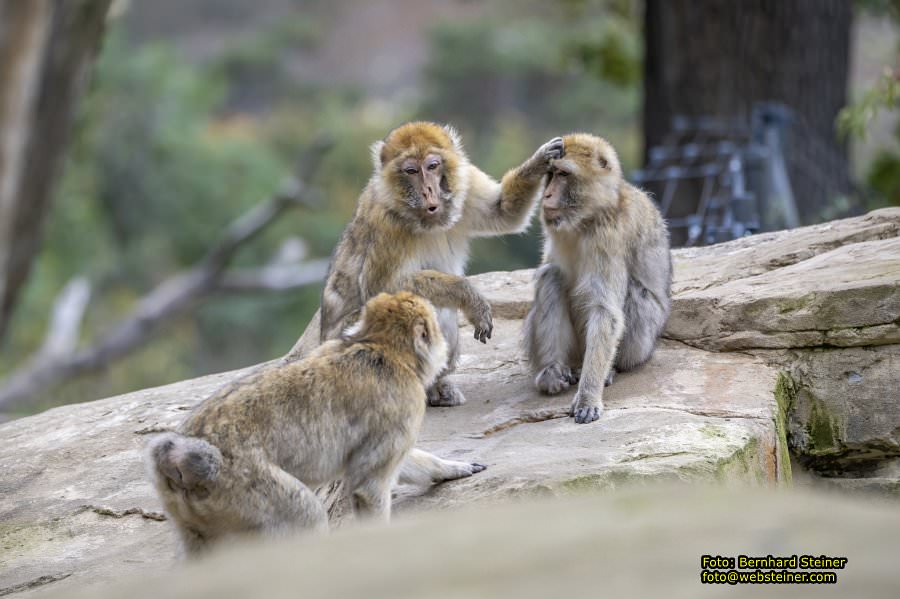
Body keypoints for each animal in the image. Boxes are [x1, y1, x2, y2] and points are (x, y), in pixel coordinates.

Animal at [146, 292, 450, 556]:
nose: (444, 341)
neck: (381, 346)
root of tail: (177, 458)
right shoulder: (405, 404)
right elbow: (369, 487)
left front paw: (447, 469)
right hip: (243, 486)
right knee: (308, 518)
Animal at [524, 135, 672, 426]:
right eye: (551, 175)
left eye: (564, 174)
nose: (546, 195)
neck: (586, 219)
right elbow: (550, 269)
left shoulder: (609, 235)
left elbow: (606, 312)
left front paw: (587, 397)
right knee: (551, 276)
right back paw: (557, 370)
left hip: (641, 346)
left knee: (635, 294)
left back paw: (610, 369)